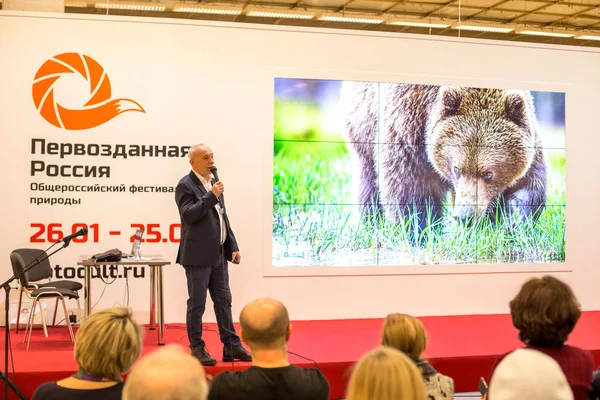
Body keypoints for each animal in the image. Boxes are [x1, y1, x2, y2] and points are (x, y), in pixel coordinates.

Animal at [340, 82, 548, 236]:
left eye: (489, 173)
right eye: (457, 168)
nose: (465, 216)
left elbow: (529, 183)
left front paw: (514, 219)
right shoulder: (408, 125)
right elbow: (408, 185)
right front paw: (419, 231)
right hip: (363, 128)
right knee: (369, 182)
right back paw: (371, 224)